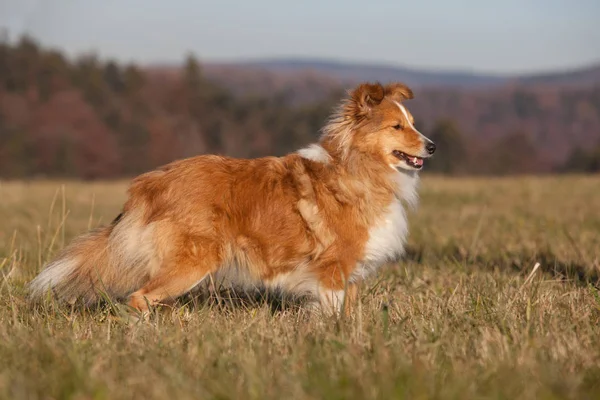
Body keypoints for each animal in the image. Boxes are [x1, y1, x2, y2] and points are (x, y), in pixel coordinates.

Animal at [28, 81, 434, 312]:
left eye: (413, 123)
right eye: (397, 127)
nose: (432, 146)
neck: (356, 168)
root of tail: (149, 184)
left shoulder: (349, 275)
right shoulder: (333, 269)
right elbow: (332, 315)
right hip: (193, 262)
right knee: (138, 297)